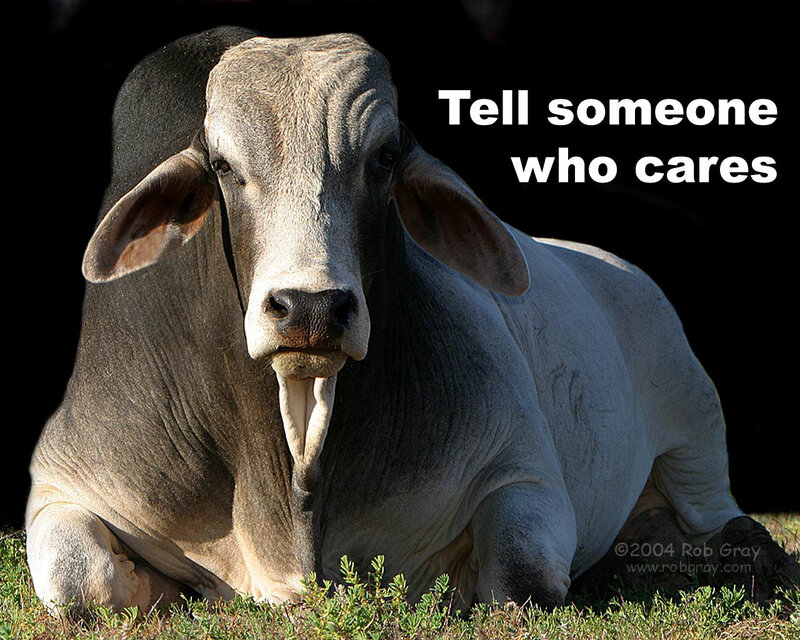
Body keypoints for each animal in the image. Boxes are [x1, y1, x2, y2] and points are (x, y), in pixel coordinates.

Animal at [26, 26, 798, 618]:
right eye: (221, 164)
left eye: (385, 158)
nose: (311, 307)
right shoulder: (62, 479)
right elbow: (77, 582)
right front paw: (167, 588)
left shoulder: (520, 469)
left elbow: (520, 577)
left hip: (695, 429)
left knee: (718, 518)